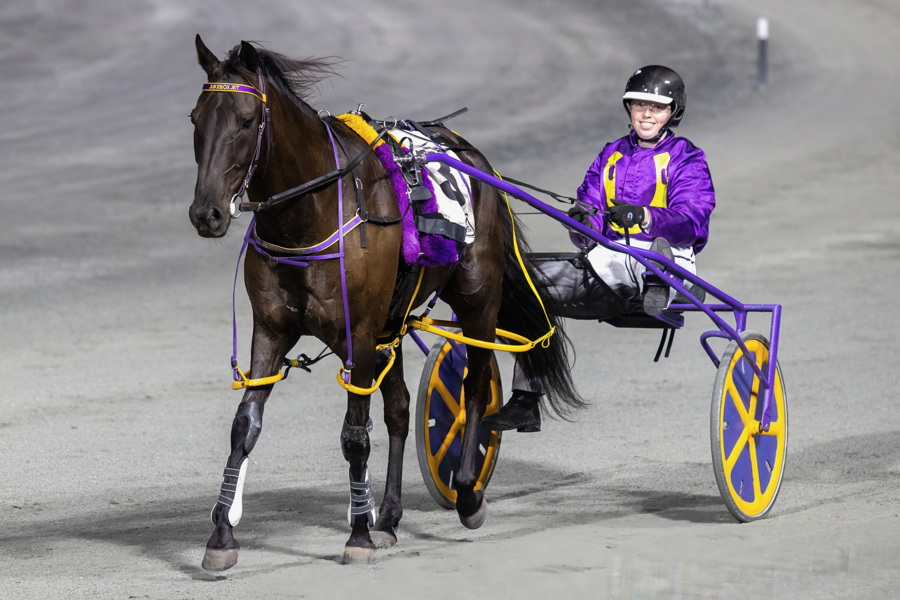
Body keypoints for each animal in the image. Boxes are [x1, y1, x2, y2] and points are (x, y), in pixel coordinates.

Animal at [188, 35, 583, 569]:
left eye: (247, 120)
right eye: (196, 118)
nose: (205, 213)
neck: (312, 214)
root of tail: (470, 153)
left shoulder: (357, 332)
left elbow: (355, 436)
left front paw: (358, 535)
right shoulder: (272, 329)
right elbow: (244, 425)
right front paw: (222, 537)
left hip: (476, 299)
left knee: (474, 384)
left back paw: (467, 493)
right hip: (390, 325)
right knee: (399, 408)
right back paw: (390, 516)